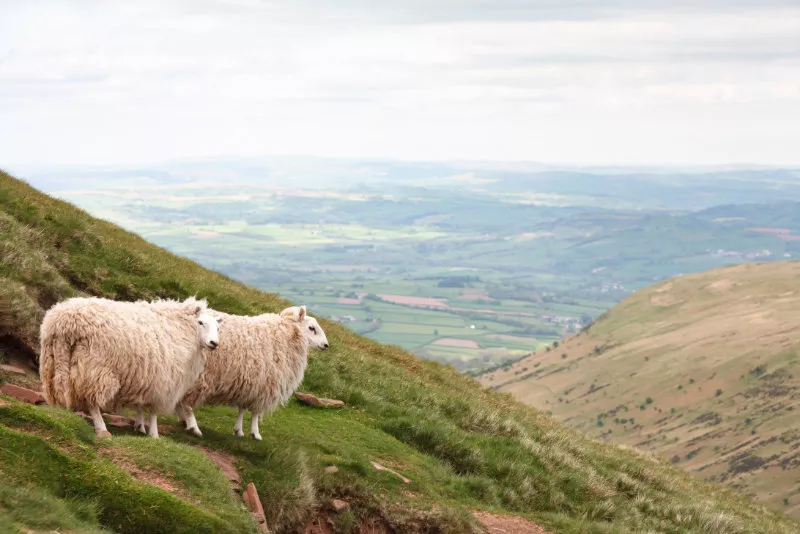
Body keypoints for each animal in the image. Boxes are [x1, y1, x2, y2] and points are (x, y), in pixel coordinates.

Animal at [39, 298, 222, 440]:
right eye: (201, 322)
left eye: (217, 327)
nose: (214, 343)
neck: (181, 328)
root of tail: (65, 322)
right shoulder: (162, 381)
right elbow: (153, 411)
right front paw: (154, 434)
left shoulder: (146, 377)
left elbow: (140, 404)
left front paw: (139, 426)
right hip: (97, 368)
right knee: (92, 402)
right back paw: (101, 428)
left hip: (55, 361)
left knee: (61, 389)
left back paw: (62, 411)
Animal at [177, 308, 330, 442]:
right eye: (311, 328)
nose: (326, 345)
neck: (284, 336)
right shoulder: (264, 386)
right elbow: (256, 412)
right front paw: (255, 433)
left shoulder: (249, 384)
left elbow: (242, 408)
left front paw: (238, 430)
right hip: (200, 375)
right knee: (188, 403)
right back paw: (193, 426)